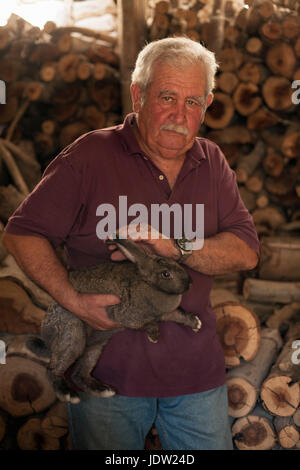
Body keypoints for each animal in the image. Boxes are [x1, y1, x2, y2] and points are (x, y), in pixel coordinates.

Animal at [30, 239, 202, 404]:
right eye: (166, 274)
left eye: (176, 264)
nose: (190, 282)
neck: (148, 284)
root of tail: (46, 331)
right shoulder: (129, 317)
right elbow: (148, 324)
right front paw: (154, 337)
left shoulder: (165, 313)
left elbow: (179, 314)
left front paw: (196, 324)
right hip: (73, 337)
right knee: (52, 369)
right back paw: (68, 394)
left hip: (95, 348)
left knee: (78, 374)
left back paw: (104, 390)